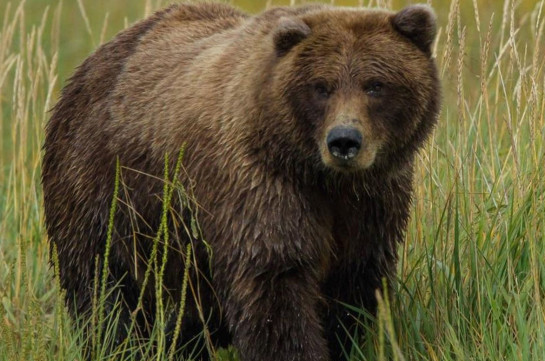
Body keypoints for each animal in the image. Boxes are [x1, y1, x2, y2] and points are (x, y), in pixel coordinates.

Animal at [42, 1, 440, 358]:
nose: (344, 141)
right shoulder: (259, 186)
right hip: (103, 190)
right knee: (102, 286)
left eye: (375, 85)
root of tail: (91, 62)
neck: (320, 176)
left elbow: (352, 287)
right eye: (321, 86)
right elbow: (274, 285)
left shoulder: (372, 202)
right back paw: (118, 343)